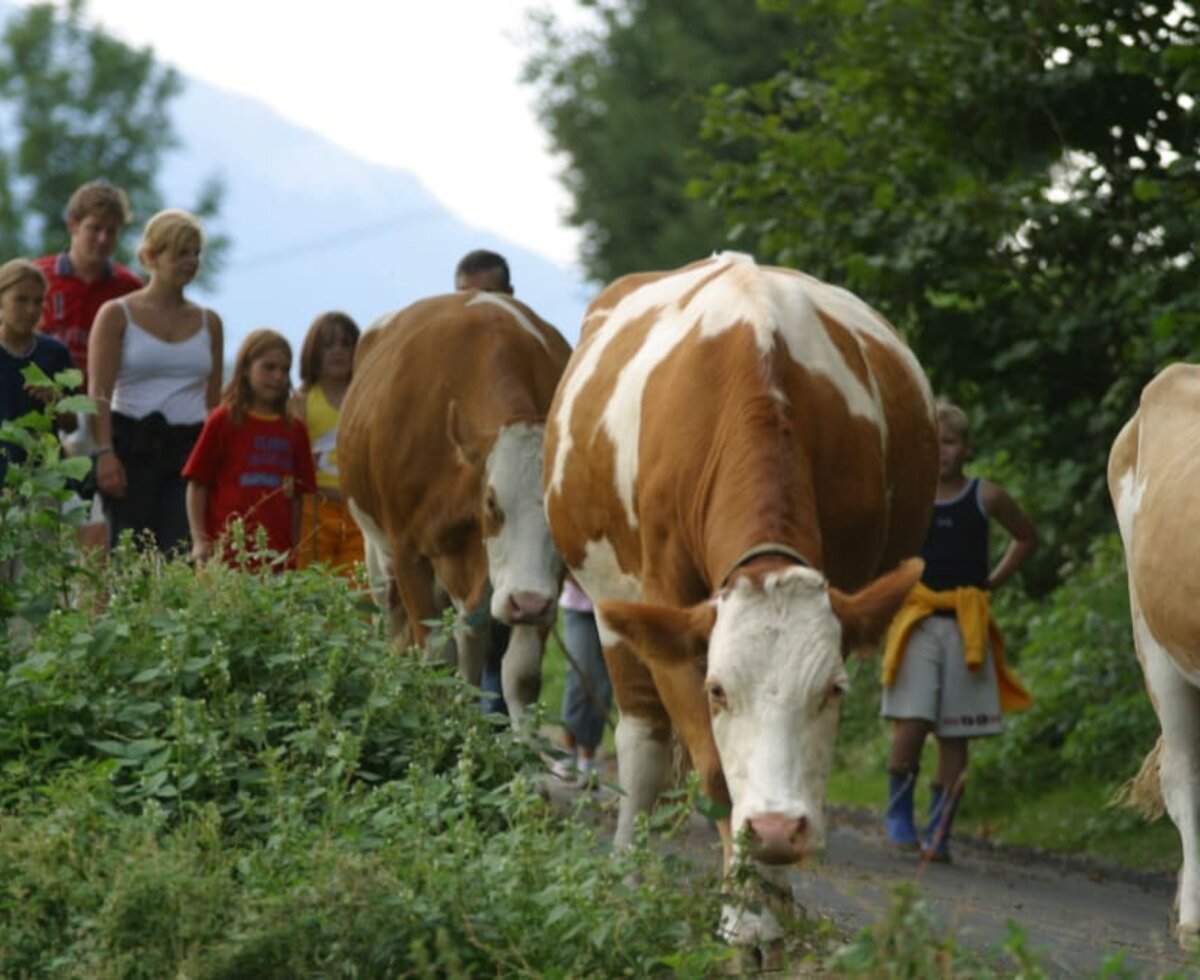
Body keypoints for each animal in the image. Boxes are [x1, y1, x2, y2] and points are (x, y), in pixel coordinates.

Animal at [340, 289, 573, 719]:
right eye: (492, 502)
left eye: (554, 507)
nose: (527, 603)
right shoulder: (408, 552)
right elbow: (435, 660)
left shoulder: (547, 577)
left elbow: (521, 676)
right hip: (378, 557)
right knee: (397, 631)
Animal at [544, 251, 936, 950]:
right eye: (718, 689)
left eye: (834, 691)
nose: (779, 829)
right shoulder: (671, 610)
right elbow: (717, 775)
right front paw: (746, 914)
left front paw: (773, 898)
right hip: (611, 607)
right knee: (642, 744)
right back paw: (628, 875)